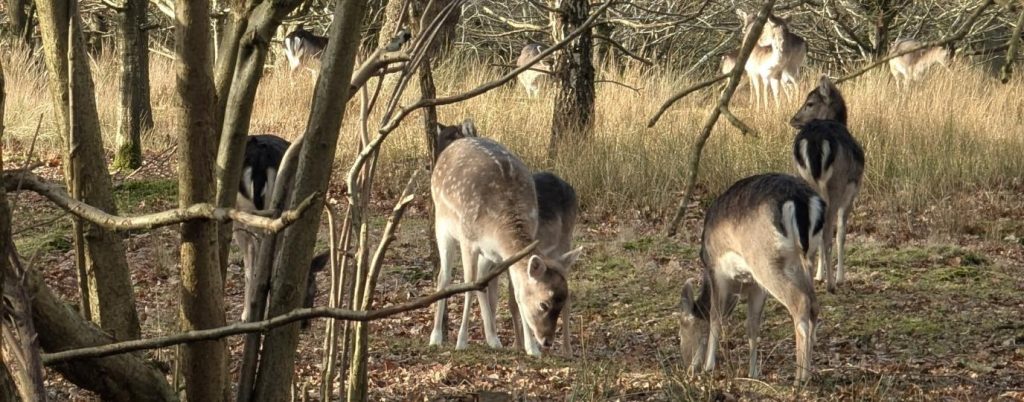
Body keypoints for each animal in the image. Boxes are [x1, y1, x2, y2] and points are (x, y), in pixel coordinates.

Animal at [430, 135, 578, 356]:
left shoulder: (507, 253)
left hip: (488, 254)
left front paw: (531, 348)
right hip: (442, 224)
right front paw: (461, 342)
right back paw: (436, 337)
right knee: (444, 277)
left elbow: (516, 294)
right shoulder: (468, 241)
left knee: (481, 282)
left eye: (562, 301)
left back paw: (493, 339)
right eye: (544, 304)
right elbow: (468, 286)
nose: (547, 341)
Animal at [679, 173, 825, 383]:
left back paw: (800, 378)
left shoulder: (716, 270)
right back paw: (810, 372)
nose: (687, 367)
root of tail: (802, 201)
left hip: (764, 260)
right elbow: (752, 325)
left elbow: (715, 316)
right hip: (805, 260)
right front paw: (753, 372)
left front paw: (708, 366)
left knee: (800, 301)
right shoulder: (756, 286)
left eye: (681, 330)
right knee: (813, 304)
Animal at [789, 76, 865, 293]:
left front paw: (818, 276)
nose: (793, 119)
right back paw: (832, 284)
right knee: (827, 235)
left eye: (810, 103)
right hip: (835, 185)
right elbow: (841, 233)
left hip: (804, 181)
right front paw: (839, 278)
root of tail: (814, 140)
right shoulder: (852, 192)